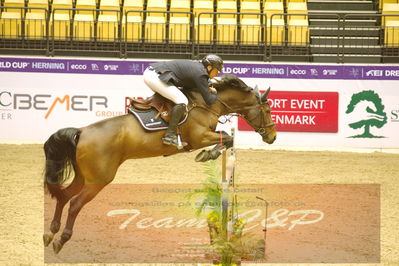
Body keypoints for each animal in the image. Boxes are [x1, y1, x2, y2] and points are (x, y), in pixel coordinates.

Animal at [42, 74, 276, 254]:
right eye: (267, 111)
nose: (272, 137)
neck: (208, 103)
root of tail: (82, 132)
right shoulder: (199, 137)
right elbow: (227, 138)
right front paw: (207, 154)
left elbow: (227, 137)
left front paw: (209, 154)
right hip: (98, 180)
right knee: (75, 203)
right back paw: (61, 239)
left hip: (84, 176)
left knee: (64, 196)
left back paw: (50, 233)